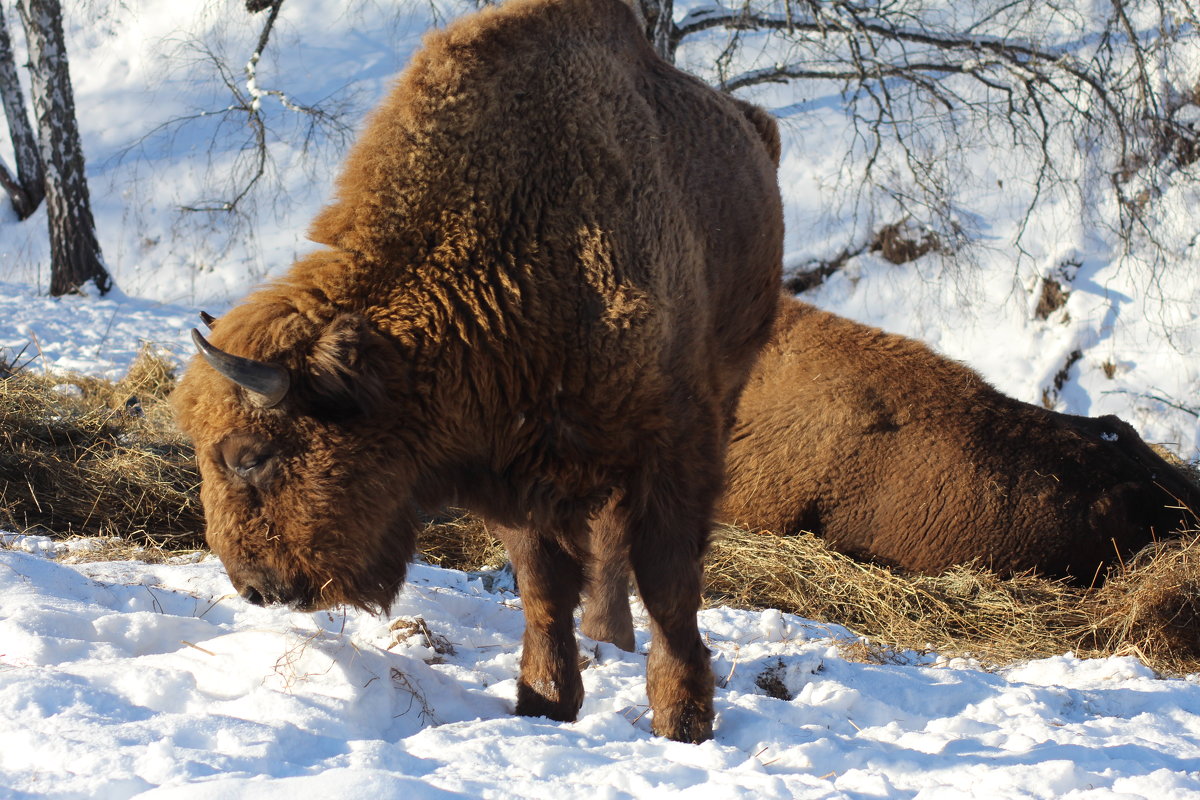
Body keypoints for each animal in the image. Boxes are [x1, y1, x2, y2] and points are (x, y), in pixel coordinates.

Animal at [171, 0, 787, 743]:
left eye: (249, 455)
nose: (254, 587)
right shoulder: (515, 469)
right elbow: (543, 587)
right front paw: (545, 700)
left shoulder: (671, 444)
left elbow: (669, 586)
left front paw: (682, 720)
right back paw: (605, 638)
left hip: (729, 380)